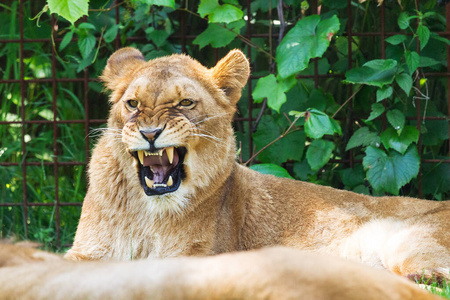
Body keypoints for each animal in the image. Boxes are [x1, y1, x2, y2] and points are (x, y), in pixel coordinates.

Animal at [65, 47, 448, 282]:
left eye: (186, 103)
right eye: (132, 104)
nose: (149, 133)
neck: (147, 213)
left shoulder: (197, 258)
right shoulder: (86, 253)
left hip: (411, 244)